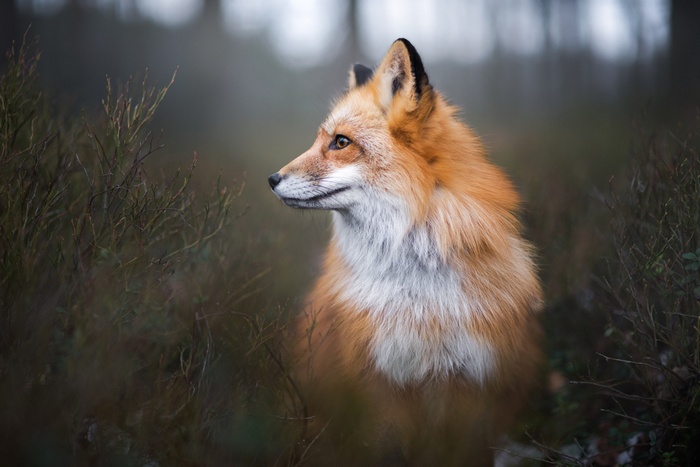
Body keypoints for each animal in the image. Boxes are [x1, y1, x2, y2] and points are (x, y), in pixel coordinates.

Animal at [269, 38, 543, 465]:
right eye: (320, 140)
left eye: (340, 142)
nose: (272, 179)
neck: (421, 298)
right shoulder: (381, 386)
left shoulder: (471, 386)